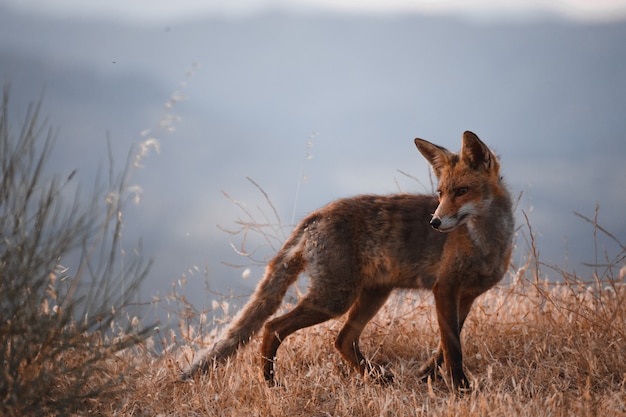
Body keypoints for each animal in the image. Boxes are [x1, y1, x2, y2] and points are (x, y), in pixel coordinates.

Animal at [184, 132, 512, 388]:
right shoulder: (444, 288)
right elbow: (453, 348)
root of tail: (315, 215)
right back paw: (269, 381)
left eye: (462, 191)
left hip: (372, 294)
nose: (435, 222)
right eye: (441, 193)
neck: (485, 244)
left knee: (342, 339)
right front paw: (461, 389)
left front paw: (428, 376)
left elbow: (446, 345)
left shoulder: (466, 295)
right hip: (335, 299)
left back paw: (377, 379)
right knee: (273, 327)